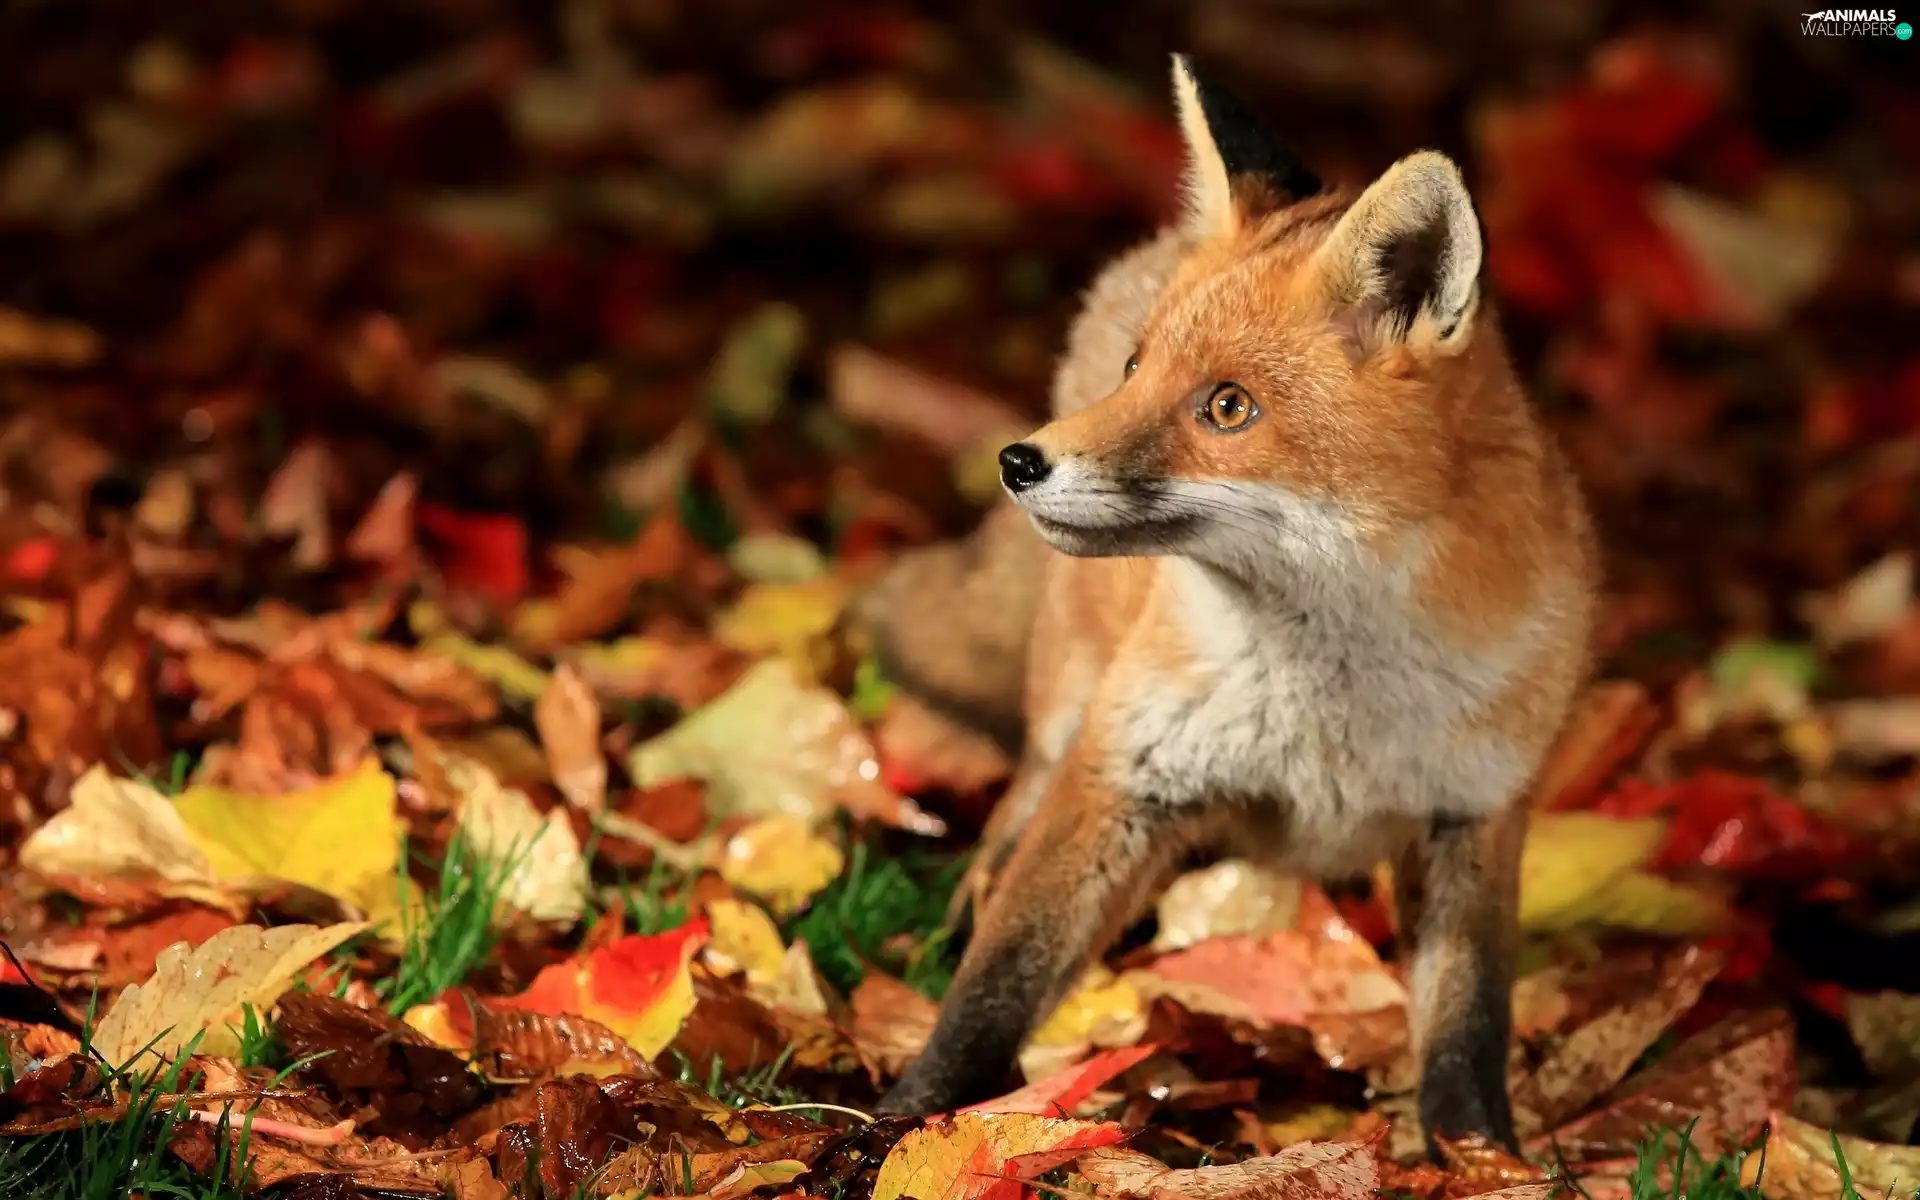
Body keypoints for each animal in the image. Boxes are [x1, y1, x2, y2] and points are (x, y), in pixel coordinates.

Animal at [862, 54, 1600, 1153]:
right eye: (1138, 369)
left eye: (1226, 408)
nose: (1019, 462)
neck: (1330, 704)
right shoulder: (1121, 774)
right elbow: (999, 981)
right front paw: (904, 1123)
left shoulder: (1475, 813)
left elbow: (1468, 1029)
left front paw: (1481, 1160)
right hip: (1069, 706)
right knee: (1007, 827)